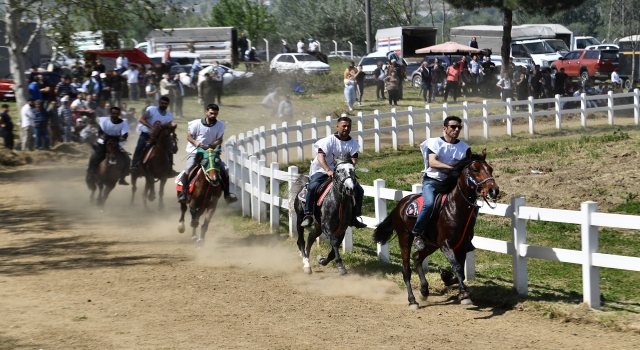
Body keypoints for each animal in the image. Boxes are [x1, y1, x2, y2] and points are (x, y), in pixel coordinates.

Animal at [370, 149, 500, 310]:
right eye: (475, 169)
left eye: (490, 169)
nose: (494, 190)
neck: (455, 208)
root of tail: (400, 204)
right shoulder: (445, 244)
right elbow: (457, 267)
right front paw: (464, 295)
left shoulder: (462, 245)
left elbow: (460, 272)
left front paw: (446, 277)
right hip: (405, 238)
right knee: (406, 269)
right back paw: (412, 300)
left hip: (431, 244)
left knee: (417, 257)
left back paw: (424, 291)